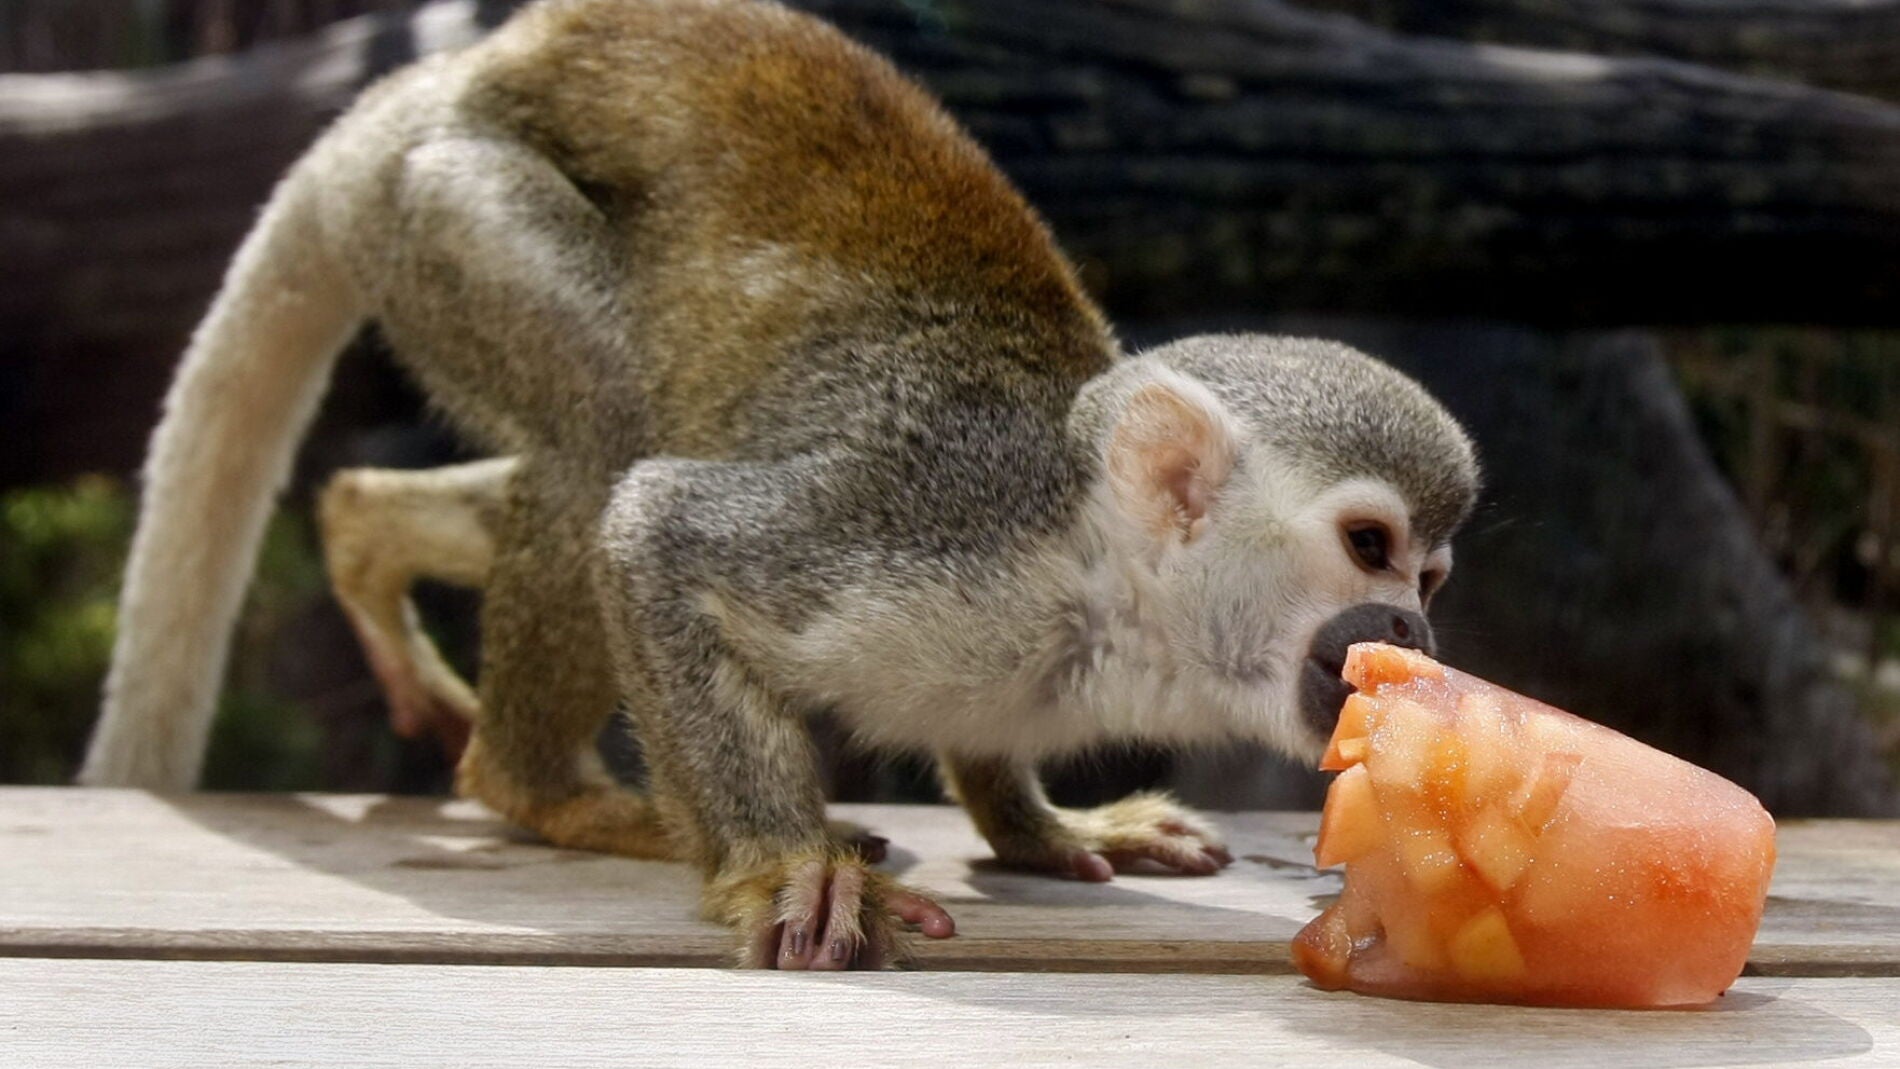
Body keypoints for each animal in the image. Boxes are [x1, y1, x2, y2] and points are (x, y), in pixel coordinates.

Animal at [81, 0, 1479, 969]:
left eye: (1433, 574)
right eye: (1368, 545)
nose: (1413, 631)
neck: (1101, 585)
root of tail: (420, 89)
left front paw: (1038, 827)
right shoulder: (931, 528)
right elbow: (653, 528)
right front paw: (776, 863)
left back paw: (366, 529)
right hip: (452, 209)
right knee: (606, 424)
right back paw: (549, 790)